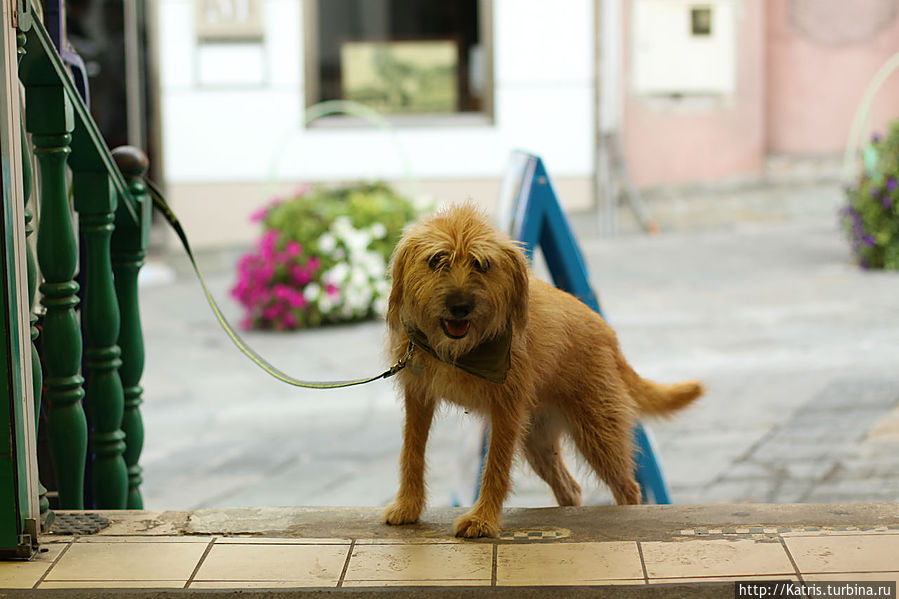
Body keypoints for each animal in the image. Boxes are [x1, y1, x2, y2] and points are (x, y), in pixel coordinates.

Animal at [384, 204, 708, 536]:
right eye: (436, 260)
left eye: (482, 264)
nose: (460, 306)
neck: (463, 352)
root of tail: (608, 334)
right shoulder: (419, 398)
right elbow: (412, 452)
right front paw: (408, 505)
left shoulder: (506, 411)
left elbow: (496, 466)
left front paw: (483, 519)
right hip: (538, 441)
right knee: (571, 488)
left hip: (599, 434)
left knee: (628, 486)